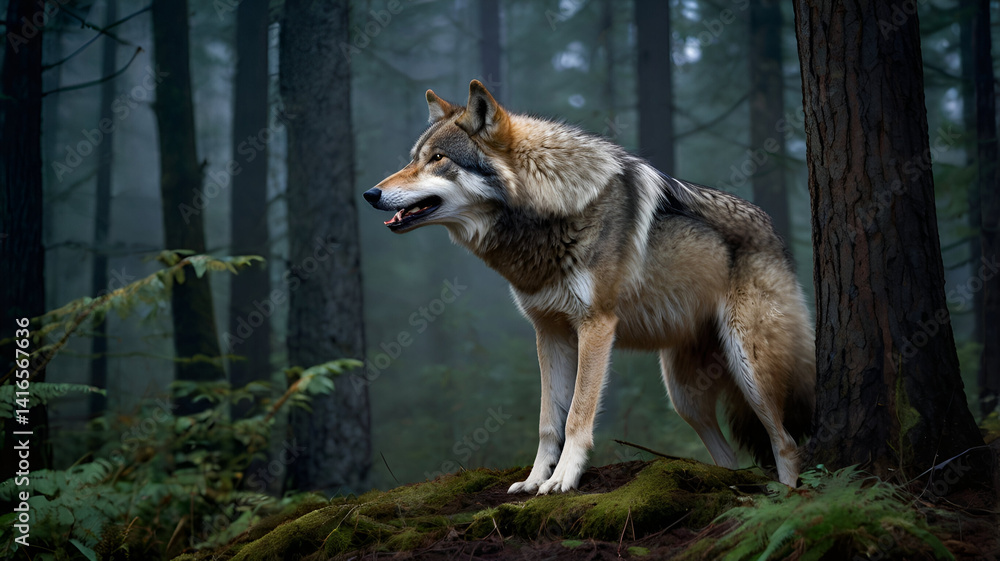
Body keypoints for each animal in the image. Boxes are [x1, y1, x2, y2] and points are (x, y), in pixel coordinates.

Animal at [363, 80, 815, 494]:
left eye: (437, 159)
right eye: (414, 159)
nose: (370, 193)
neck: (549, 211)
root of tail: (774, 232)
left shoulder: (595, 326)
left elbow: (578, 415)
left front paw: (562, 479)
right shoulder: (549, 332)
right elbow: (549, 422)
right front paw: (534, 480)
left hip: (749, 368)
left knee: (787, 443)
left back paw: (786, 499)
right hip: (683, 396)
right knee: (729, 457)